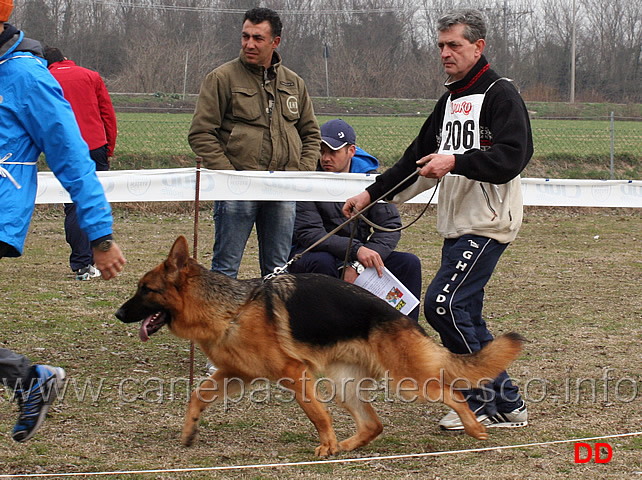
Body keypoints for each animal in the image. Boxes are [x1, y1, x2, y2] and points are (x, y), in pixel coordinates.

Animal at [116, 236, 524, 458]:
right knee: (374, 424)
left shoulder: (295, 374)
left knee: (451, 392)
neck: (230, 309)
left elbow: (317, 415)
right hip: (345, 386)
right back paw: (347, 446)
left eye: (145, 290)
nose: (119, 313)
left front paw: (326, 444)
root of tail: (405, 319)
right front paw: (189, 431)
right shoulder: (235, 374)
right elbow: (197, 395)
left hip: (408, 381)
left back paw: (474, 428)